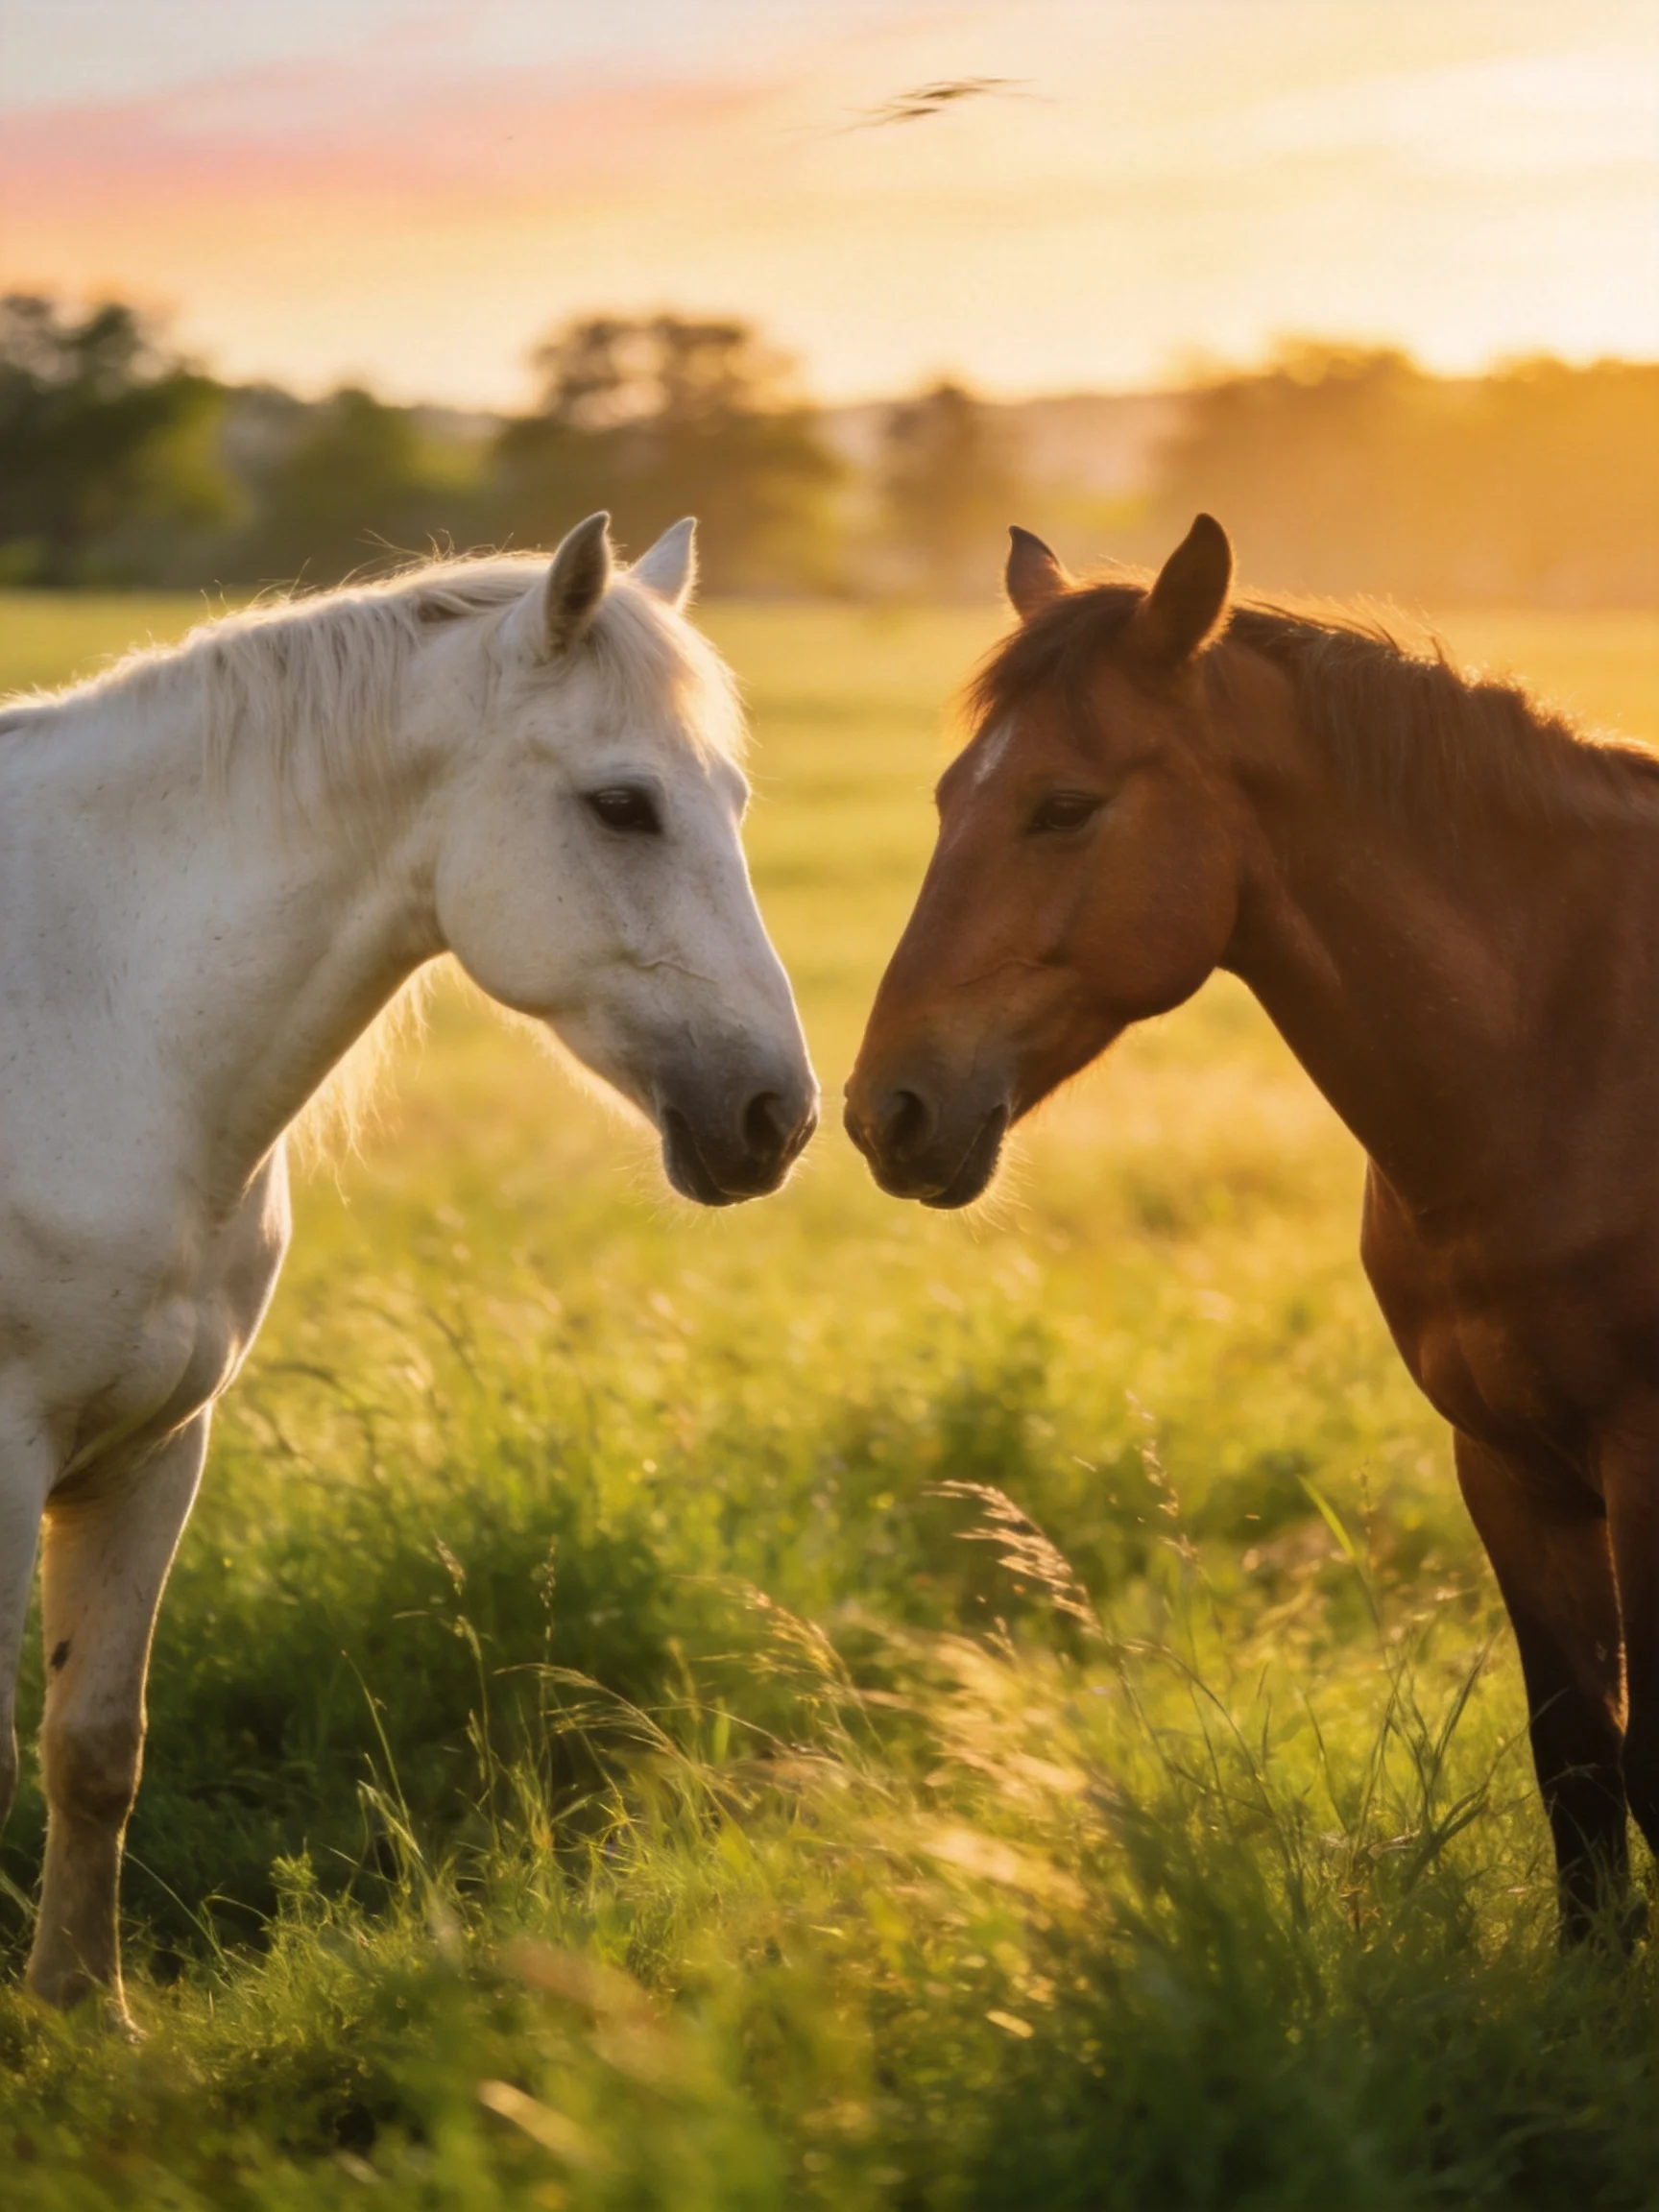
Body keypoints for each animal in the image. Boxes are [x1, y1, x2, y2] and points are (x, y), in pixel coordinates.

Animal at [0, 512, 817, 2025]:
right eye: (624, 805)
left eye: (730, 797)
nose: (776, 1117)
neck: (85, 1008)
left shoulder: (156, 1449)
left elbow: (94, 1749)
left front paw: (86, 2015)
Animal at [847, 513, 1659, 1943]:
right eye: (948, 798)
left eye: (1063, 805)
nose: (886, 1110)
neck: (1572, 1045)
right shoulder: (1509, 1467)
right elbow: (1579, 1768)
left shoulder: (1645, 1459)